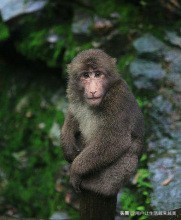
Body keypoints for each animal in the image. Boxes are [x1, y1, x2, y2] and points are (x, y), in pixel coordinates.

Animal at [60, 49, 144, 197]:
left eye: (98, 74)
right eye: (86, 75)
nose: (93, 90)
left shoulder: (118, 100)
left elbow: (116, 140)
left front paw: (75, 170)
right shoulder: (73, 94)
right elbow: (73, 114)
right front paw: (67, 143)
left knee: (130, 154)